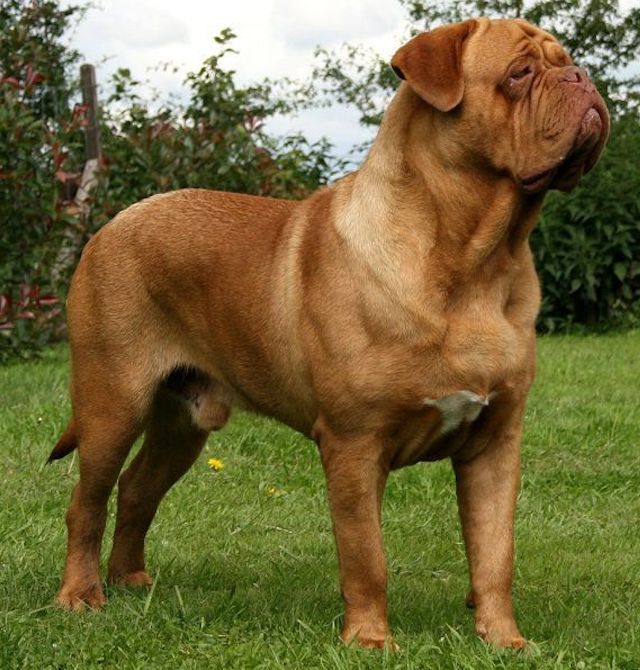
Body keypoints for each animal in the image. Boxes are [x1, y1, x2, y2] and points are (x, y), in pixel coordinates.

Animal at [50, 18, 608, 652]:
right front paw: (370, 641)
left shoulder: (495, 444)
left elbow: (495, 552)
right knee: (87, 502)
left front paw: (503, 640)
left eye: (564, 60)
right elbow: (366, 554)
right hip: (112, 403)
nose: (583, 76)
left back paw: (130, 579)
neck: (477, 259)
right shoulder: (354, 442)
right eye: (519, 73)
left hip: (182, 421)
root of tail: (109, 226)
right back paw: (81, 596)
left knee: (138, 487)